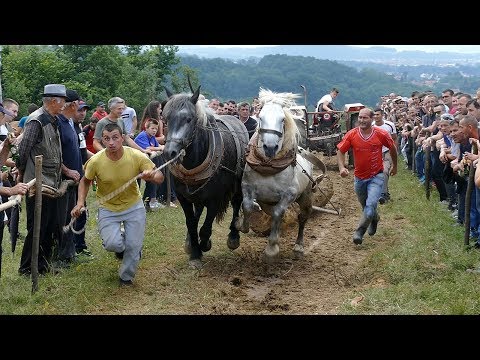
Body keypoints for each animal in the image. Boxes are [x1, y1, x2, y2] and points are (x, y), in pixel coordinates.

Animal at [236, 88, 316, 260]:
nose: (270, 147)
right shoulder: (247, 187)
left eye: (282, 119)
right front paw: (240, 225)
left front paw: (271, 248)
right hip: (268, 201)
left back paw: (298, 246)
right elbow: (247, 205)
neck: (268, 166)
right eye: (260, 117)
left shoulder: (289, 195)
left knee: (302, 216)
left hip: (305, 196)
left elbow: (279, 212)